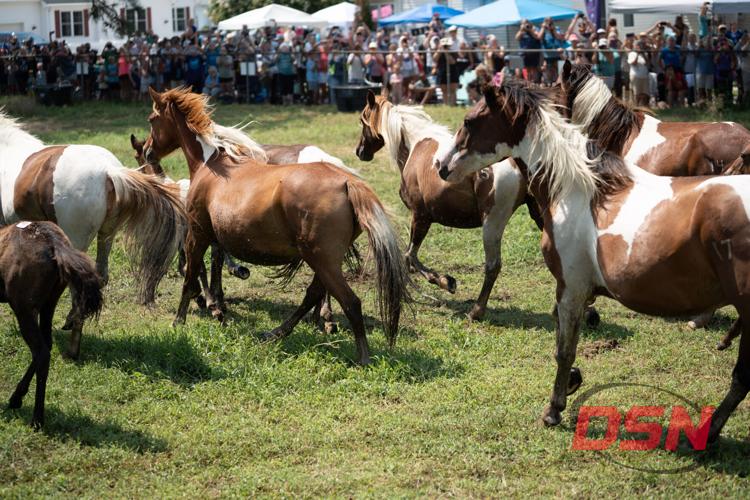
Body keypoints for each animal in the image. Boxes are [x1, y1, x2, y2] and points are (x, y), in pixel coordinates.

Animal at [2, 221, 103, 428]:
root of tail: (53, 243)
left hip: (24, 309)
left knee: (41, 352)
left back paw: (36, 418)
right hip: (48, 305)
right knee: (46, 346)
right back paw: (17, 398)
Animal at [143, 87, 410, 365]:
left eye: (152, 119)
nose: (149, 152)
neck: (213, 165)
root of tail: (347, 183)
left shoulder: (197, 235)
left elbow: (191, 276)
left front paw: (180, 320)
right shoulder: (213, 238)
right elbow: (209, 270)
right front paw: (215, 306)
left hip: (322, 260)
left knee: (349, 302)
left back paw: (362, 357)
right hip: (323, 261)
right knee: (314, 294)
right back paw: (276, 333)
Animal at [356, 91, 544, 321]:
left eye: (362, 120)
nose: (360, 151)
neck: (416, 144)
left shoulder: (420, 216)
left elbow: (410, 256)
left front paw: (446, 282)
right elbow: (409, 259)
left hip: (493, 223)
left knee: (493, 266)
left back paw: (476, 311)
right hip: (539, 214)